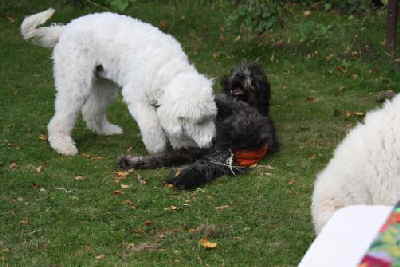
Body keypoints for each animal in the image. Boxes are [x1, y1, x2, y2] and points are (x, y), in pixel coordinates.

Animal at [21, 8, 216, 157]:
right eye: (199, 122)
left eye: (210, 118)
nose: (213, 141)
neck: (168, 72)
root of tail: (66, 28)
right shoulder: (136, 97)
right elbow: (152, 123)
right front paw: (157, 147)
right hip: (75, 81)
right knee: (63, 115)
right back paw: (62, 145)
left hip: (105, 85)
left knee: (92, 110)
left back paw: (104, 130)